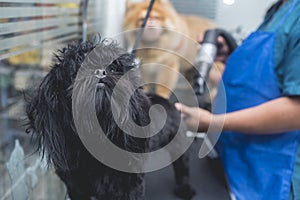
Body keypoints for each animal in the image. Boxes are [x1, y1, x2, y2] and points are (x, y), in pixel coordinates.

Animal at [24, 38, 196, 199]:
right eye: (78, 69)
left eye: (113, 68)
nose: (100, 72)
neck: (98, 137)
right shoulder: (76, 186)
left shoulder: (129, 185)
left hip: (178, 143)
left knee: (183, 166)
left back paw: (185, 188)